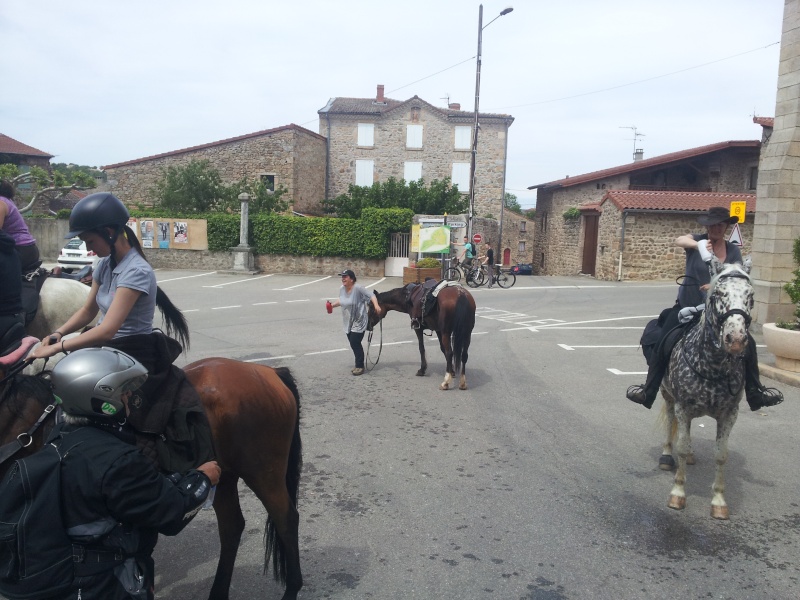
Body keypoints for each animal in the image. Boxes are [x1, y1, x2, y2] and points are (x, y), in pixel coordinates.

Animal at [656, 260, 756, 516]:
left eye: (750, 295)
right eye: (718, 294)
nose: (736, 339)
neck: (712, 366)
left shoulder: (730, 414)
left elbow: (721, 455)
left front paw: (719, 501)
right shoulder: (682, 407)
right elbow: (681, 446)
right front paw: (678, 493)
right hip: (669, 397)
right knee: (671, 426)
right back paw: (667, 456)